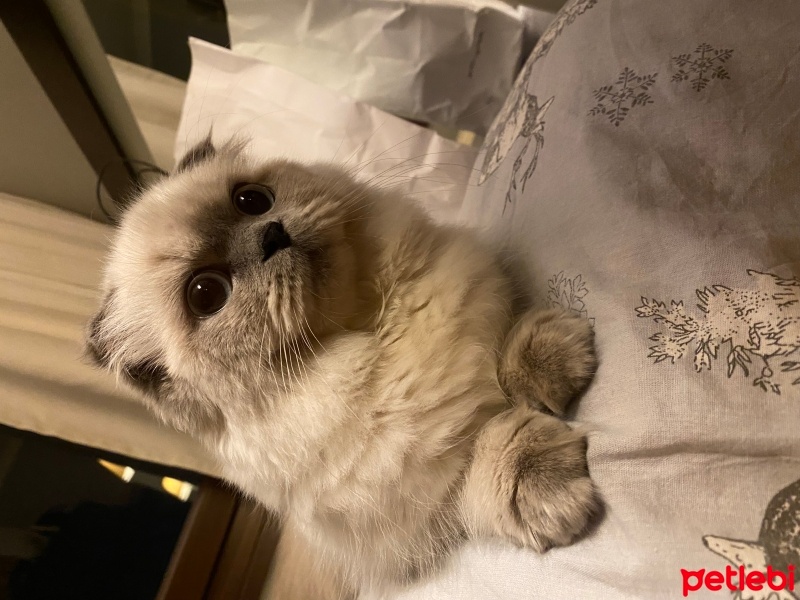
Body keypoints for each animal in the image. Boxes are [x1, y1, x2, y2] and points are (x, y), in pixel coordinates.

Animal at [87, 137, 600, 600]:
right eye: (206, 294)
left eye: (251, 200)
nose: (272, 235)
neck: (373, 332)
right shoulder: (427, 504)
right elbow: (492, 446)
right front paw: (545, 481)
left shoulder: (482, 319)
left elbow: (509, 354)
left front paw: (556, 360)